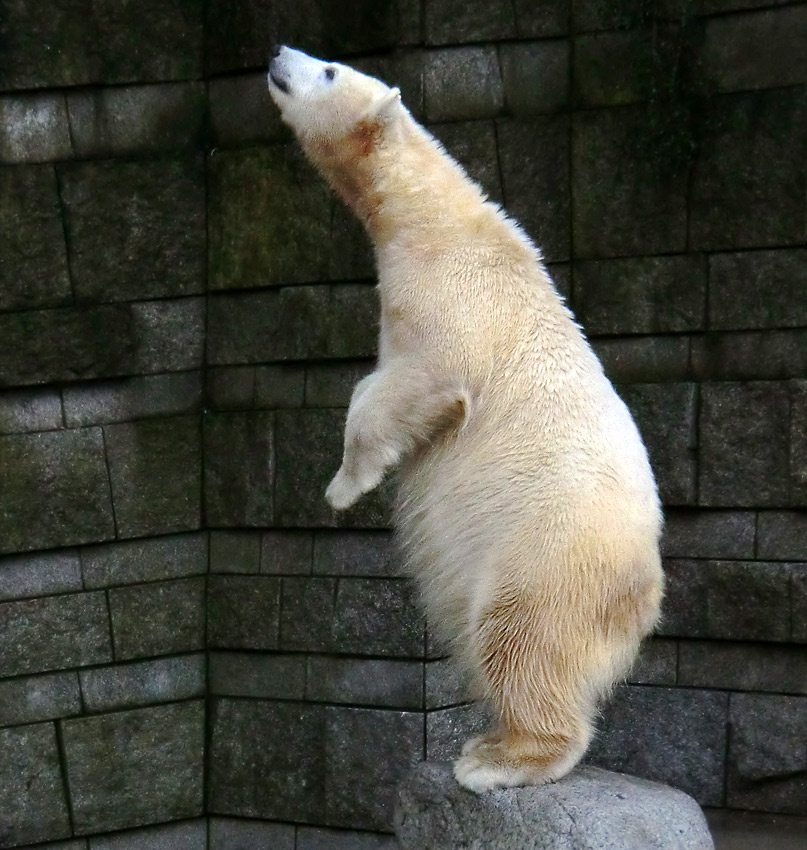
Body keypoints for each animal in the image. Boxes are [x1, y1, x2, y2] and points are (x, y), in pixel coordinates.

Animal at [268, 44, 664, 788]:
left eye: (329, 69)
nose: (280, 53)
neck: (436, 222)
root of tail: (643, 596)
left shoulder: (450, 302)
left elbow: (403, 389)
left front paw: (344, 486)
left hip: (546, 558)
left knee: (519, 640)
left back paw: (497, 760)